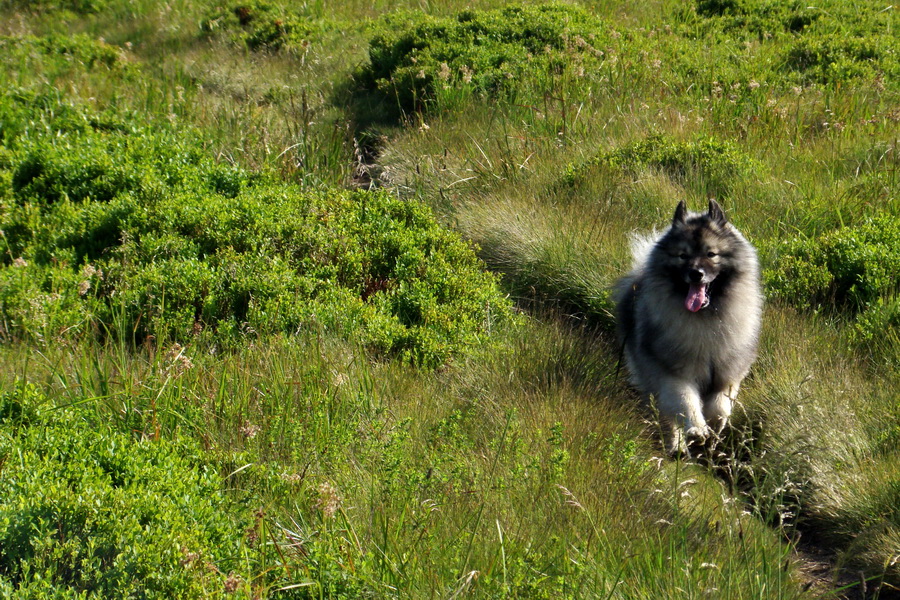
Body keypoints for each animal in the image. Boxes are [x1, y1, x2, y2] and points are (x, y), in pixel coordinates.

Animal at [612, 202, 760, 454]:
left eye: (711, 254)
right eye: (683, 256)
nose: (695, 273)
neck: (706, 319)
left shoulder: (728, 376)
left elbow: (721, 407)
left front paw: (713, 430)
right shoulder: (673, 373)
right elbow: (685, 401)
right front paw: (697, 430)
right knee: (665, 417)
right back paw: (676, 446)